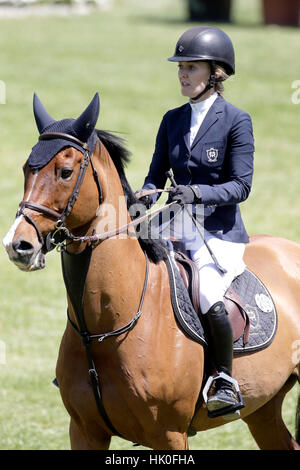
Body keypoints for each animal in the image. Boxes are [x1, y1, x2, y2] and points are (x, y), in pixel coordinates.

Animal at [2, 93, 300, 450]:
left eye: (65, 172)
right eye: (26, 169)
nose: (17, 244)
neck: (102, 328)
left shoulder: (169, 433)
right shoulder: (84, 430)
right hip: (263, 408)